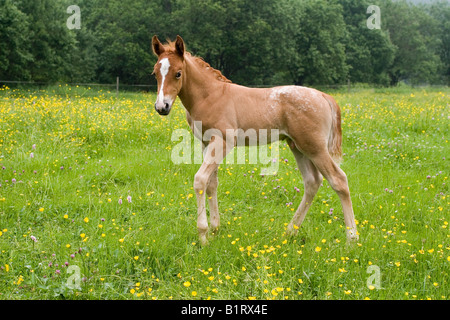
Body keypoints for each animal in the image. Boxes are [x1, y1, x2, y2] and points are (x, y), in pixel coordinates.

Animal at [151, 35, 358, 245]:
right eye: (155, 74)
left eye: (178, 73)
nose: (162, 107)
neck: (209, 95)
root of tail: (323, 96)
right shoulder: (205, 143)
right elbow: (211, 184)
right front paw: (215, 228)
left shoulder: (223, 141)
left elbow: (200, 180)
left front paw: (203, 235)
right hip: (298, 146)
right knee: (312, 182)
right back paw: (290, 231)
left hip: (315, 148)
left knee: (338, 180)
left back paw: (352, 238)